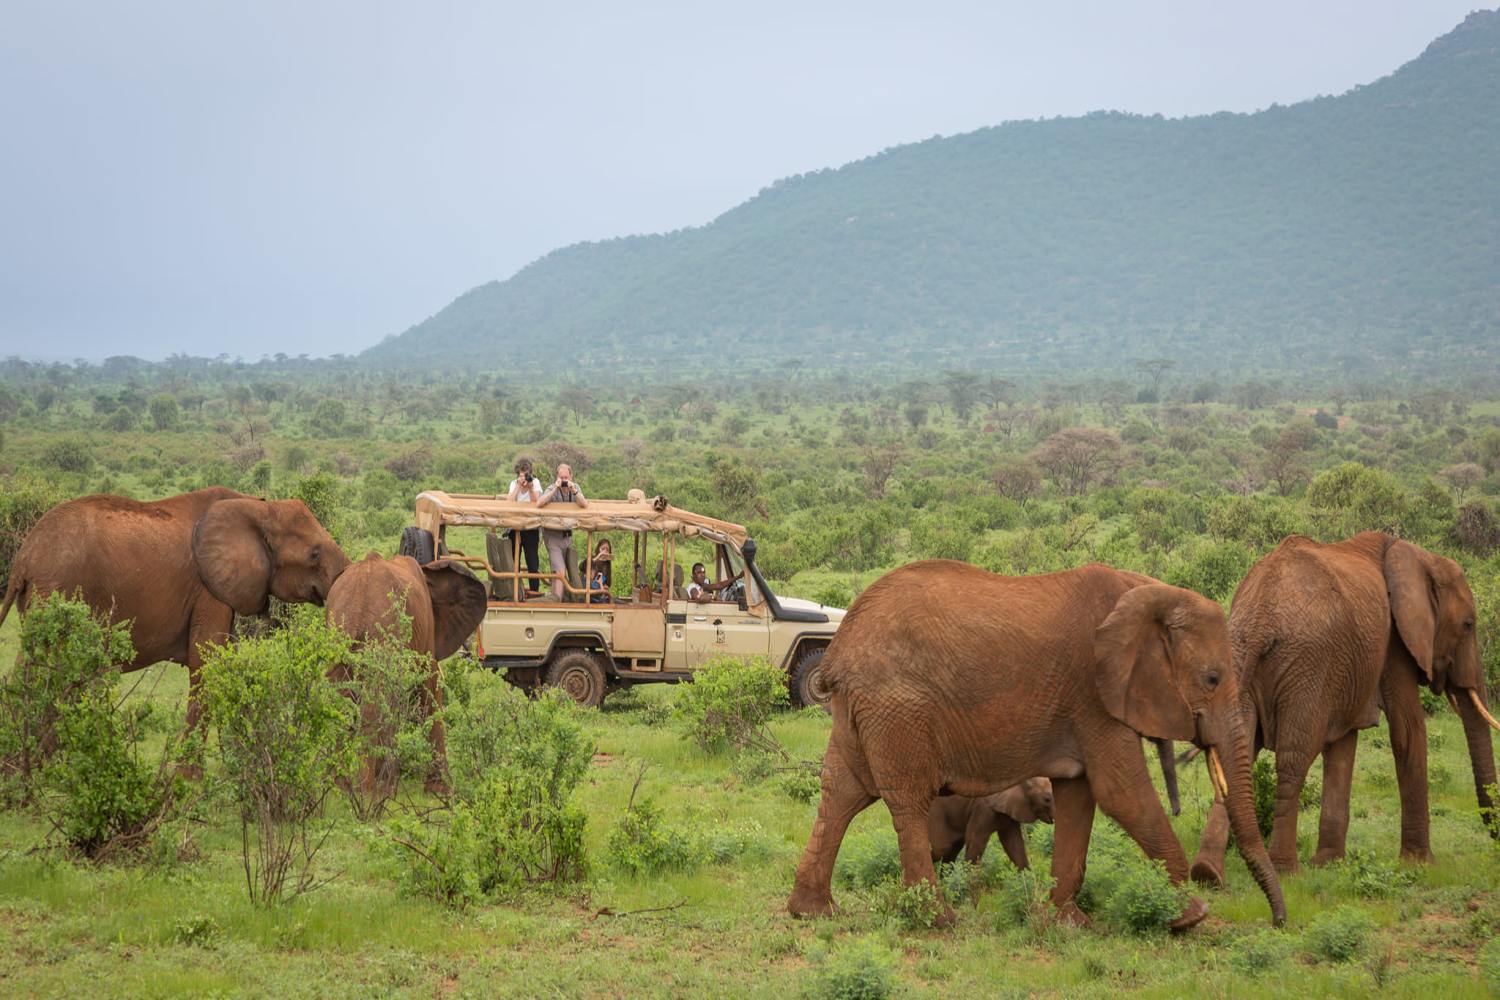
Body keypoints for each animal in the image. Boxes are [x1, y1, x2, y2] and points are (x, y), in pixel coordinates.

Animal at [0, 488, 349, 752]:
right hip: (57, 590)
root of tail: (23, 559)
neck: (257, 506)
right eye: (314, 554)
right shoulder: (207, 589)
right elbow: (206, 664)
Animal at [325, 553, 488, 794]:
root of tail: (358, 602)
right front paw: (442, 791)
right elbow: (429, 693)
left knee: (342, 702)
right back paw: (375, 790)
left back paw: (342, 788)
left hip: (338, 637)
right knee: (378, 705)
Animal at [786, 560, 1286, 930]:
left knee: (842, 794)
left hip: (861, 712)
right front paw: (1191, 917)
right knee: (906, 800)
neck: (1147, 592)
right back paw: (939, 921)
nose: (1278, 921)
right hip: (897, 708)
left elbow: (1081, 797)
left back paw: (814, 912)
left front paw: (1066, 922)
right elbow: (1122, 794)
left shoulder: (1083, 706)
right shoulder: (1093, 693)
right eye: (1213, 679)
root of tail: (841, 644)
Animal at [1190, 532, 1498, 885]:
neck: (1420, 556)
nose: (1494, 833)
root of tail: (1259, 621)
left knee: (1237, 750)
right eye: (1468, 625)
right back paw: (1286, 871)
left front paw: (1329, 864)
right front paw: (1420, 865)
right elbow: (1407, 730)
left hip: (1237, 662)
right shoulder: (1393, 641)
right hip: (1308, 666)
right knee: (1294, 757)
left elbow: (1343, 744)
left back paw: (1207, 874)